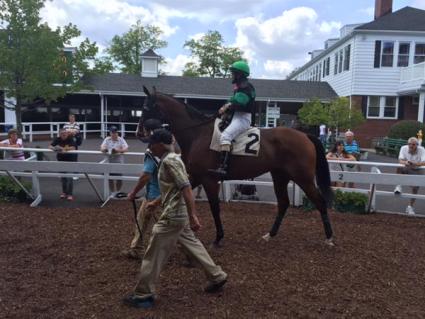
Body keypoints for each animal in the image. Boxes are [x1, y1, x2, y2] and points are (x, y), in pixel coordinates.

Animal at [137, 87, 332, 248]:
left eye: (145, 108)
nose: (139, 133)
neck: (198, 133)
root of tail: (305, 135)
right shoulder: (195, 177)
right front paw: (151, 207)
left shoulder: (209, 180)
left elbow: (215, 208)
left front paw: (218, 238)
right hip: (280, 176)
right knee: (283, 203)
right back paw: (269, 235)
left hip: (303, 178)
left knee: (320, 201)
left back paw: (329, 238)